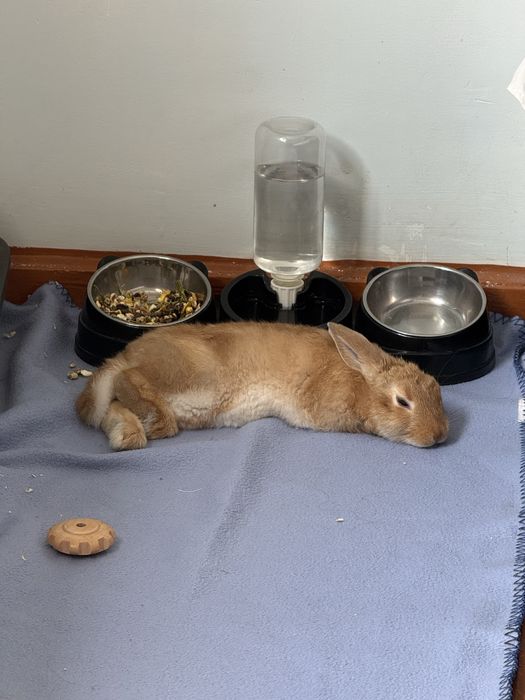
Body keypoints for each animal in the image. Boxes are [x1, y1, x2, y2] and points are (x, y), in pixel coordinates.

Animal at [75, 321, 449, 451]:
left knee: (111, 405)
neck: (359, 384)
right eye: (403, 401)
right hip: (186, 377)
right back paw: (151, 422)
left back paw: (127, 437)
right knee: (127, 380)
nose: (439, 435)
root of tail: (126, 354)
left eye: (436, 387)